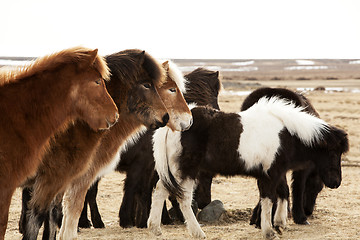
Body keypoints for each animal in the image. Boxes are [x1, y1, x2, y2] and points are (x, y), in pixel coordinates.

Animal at [148, 96, 348, 239]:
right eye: (333, 152)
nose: (336, 182)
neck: (287, 133)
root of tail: (172, 125)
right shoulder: (270, 175)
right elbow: (268, 199)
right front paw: (269, 231)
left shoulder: (275, 172)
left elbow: (282, 192)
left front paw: (279, 223)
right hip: (186, 171)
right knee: (182, 198)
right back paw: (197, 232)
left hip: (177, 172)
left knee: (160, 191)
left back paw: (155, 228)